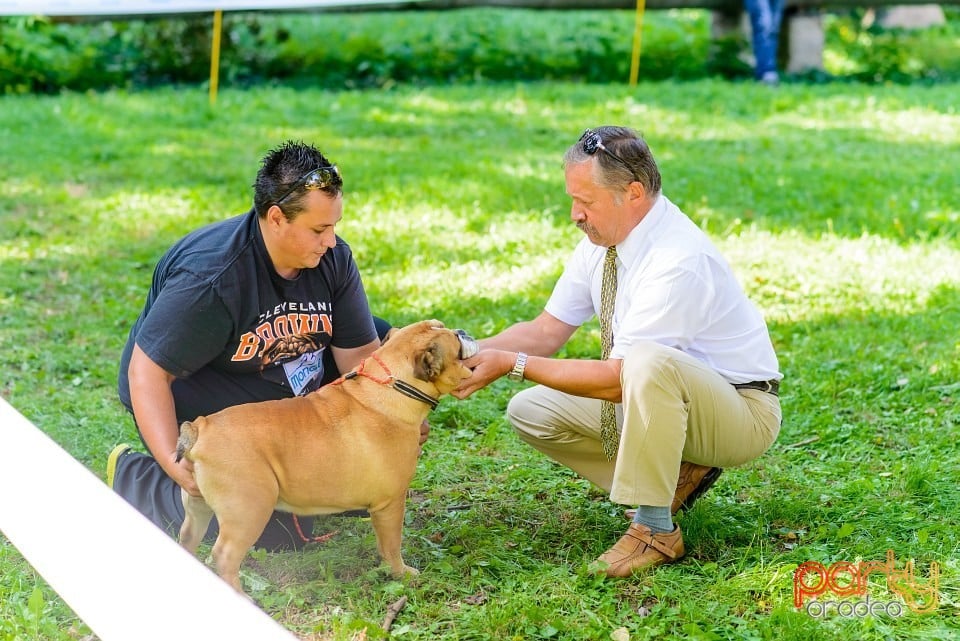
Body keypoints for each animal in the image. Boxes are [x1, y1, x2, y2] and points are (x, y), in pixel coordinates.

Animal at [174, 320, 474, 592]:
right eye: (457, 347)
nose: (463, 331)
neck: (393, 385)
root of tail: (200, 427)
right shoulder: (390, 504)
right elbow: (391, 544)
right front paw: (401, 573)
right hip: (248, 509)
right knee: (225, 555)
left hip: (198, 509)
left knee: (187, 538)